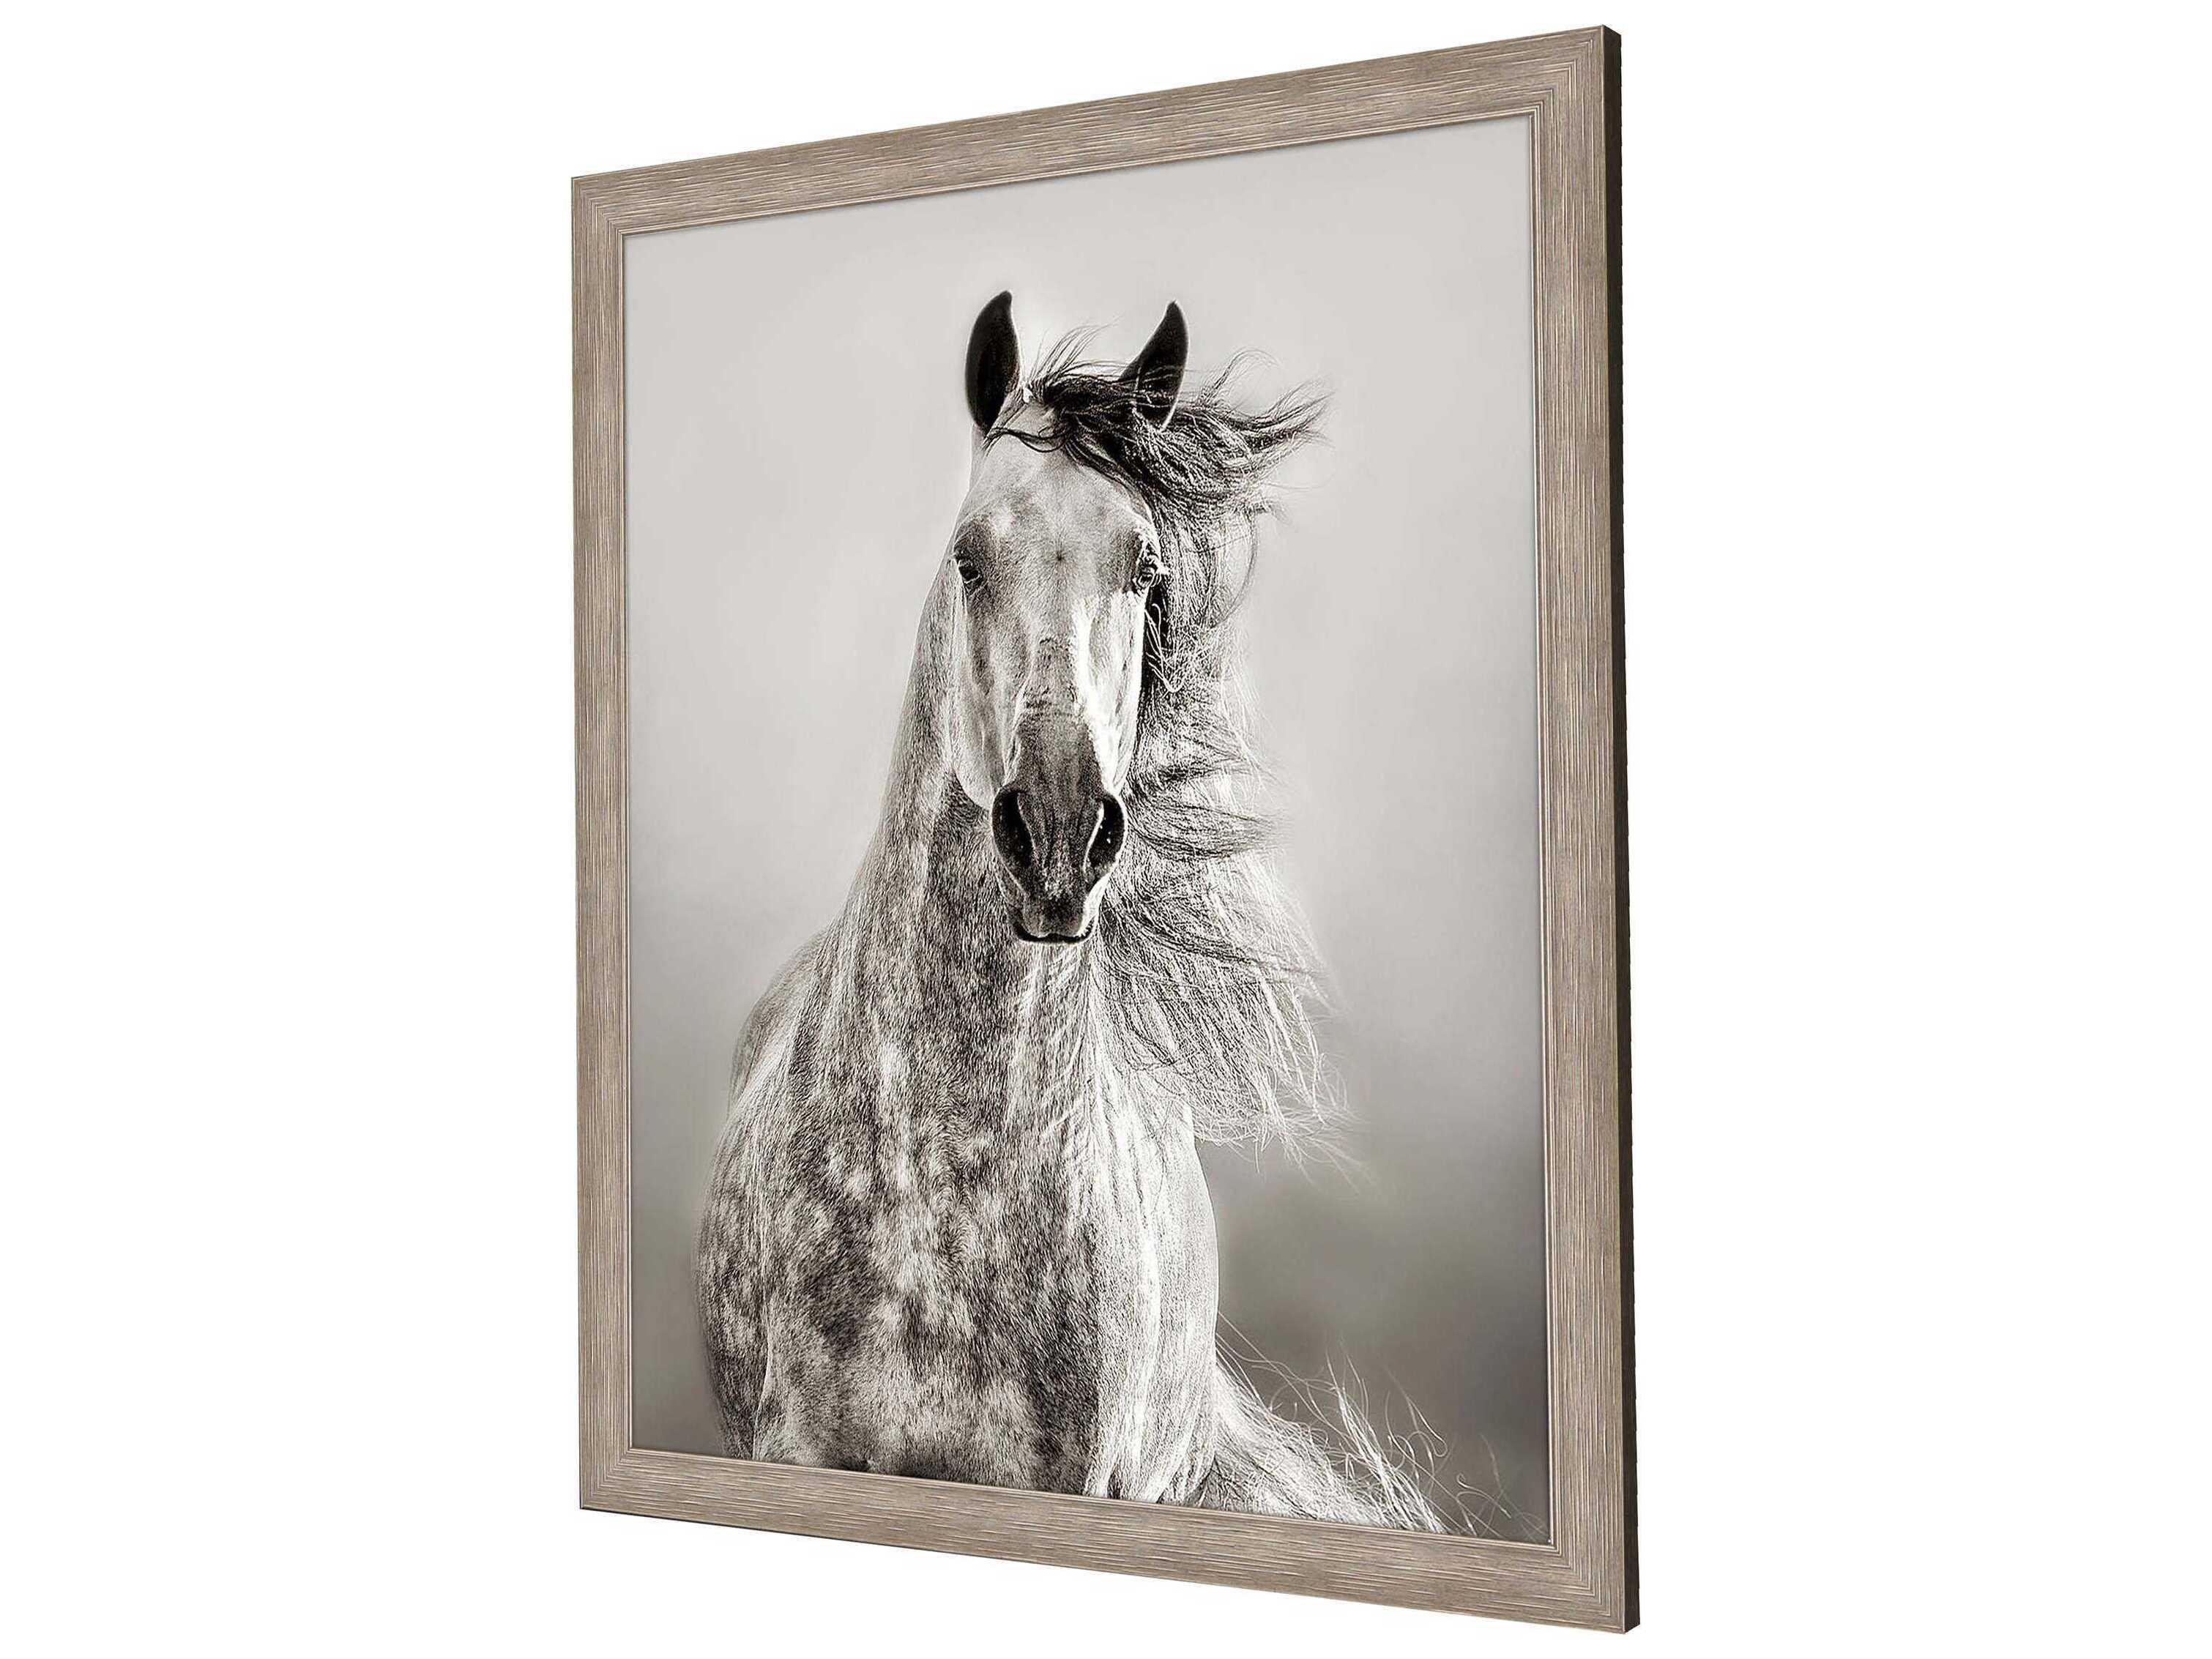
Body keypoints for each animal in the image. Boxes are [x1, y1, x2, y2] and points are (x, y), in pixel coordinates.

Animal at [697, 292, 1443, 1528]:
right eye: (966, 555)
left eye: (1143, 567)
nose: (1055, 833)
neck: (943, 1198)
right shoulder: (797, 1447)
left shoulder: (1072, 1478)